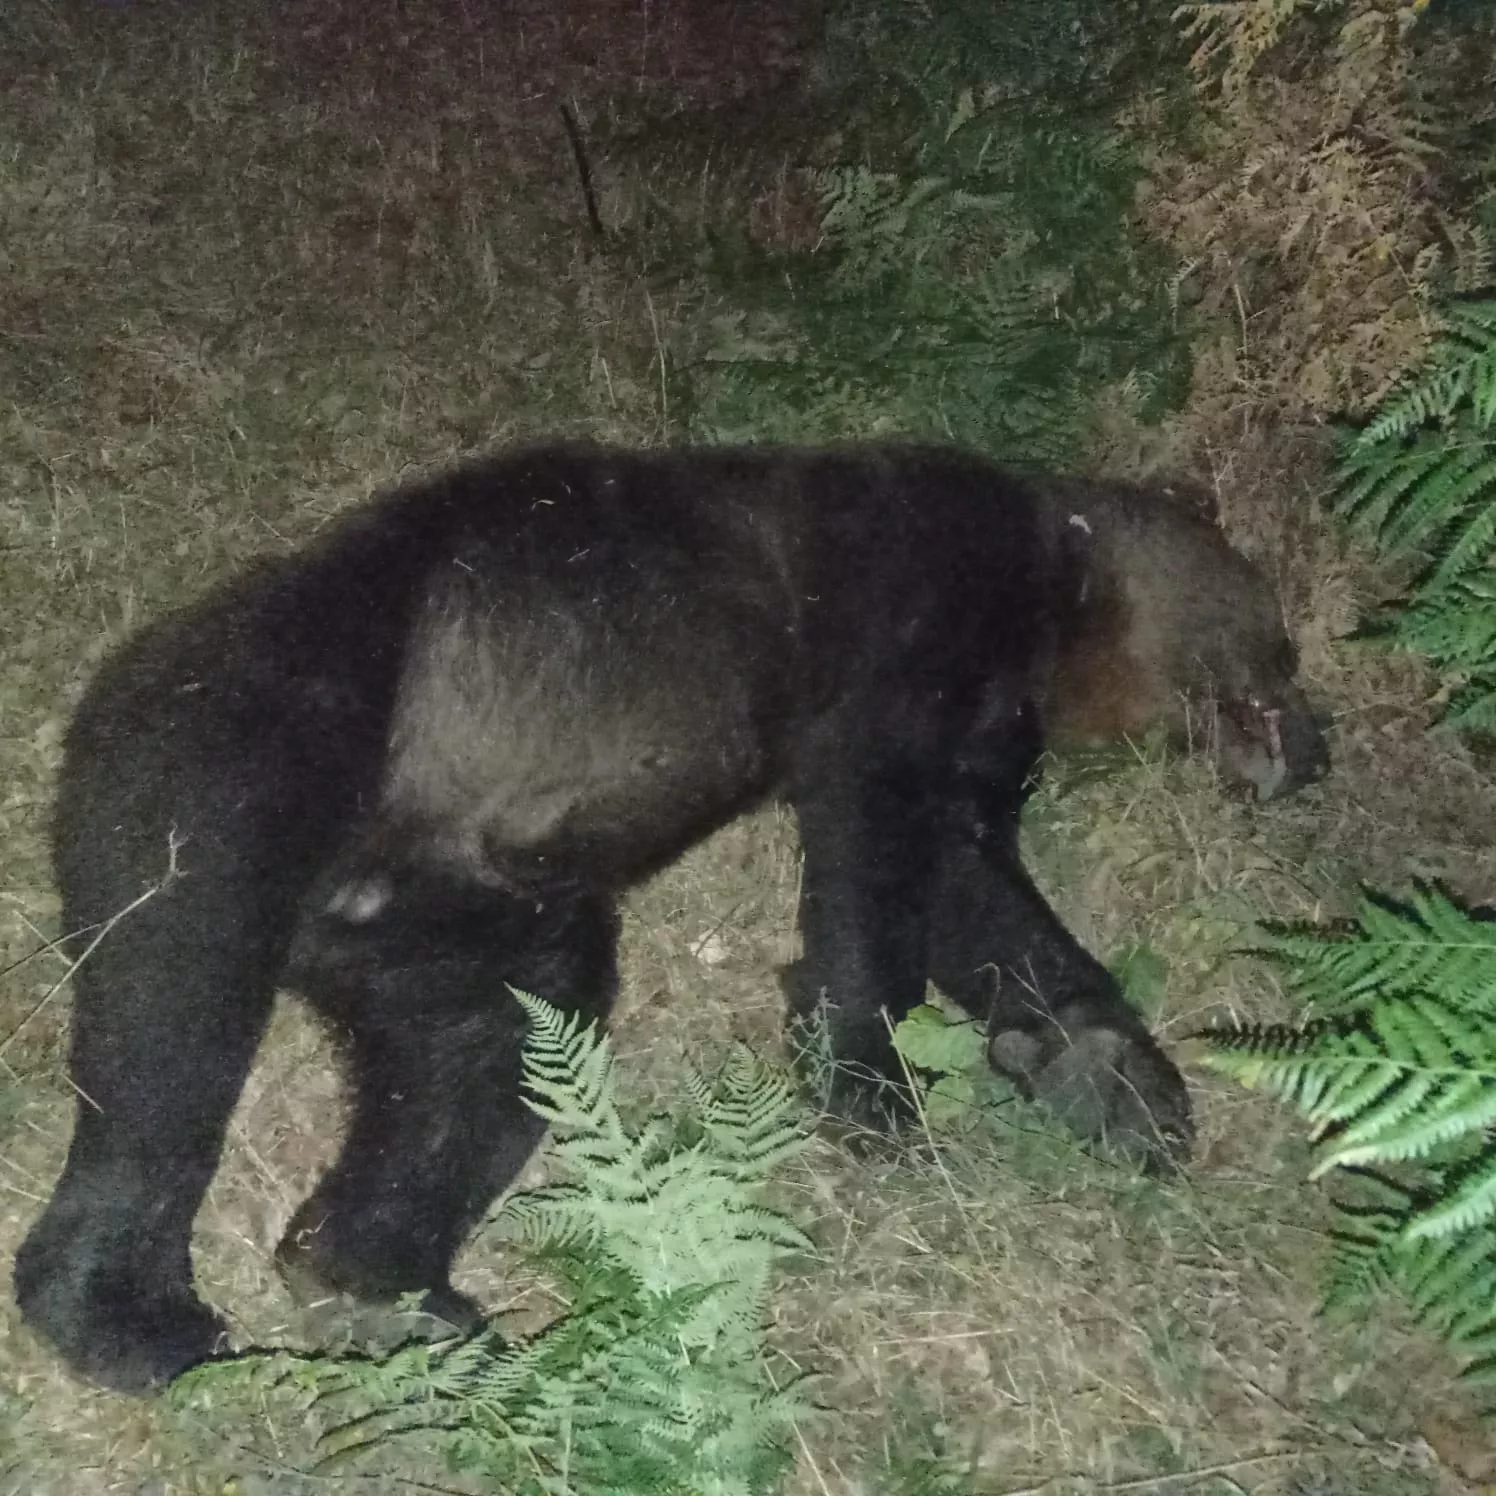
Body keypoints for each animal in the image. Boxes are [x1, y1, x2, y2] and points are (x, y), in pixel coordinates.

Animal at [13, 442, 1328, 1394]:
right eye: (1279, 641)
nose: (1314, 747)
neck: (1050, 596)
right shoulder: (910, 599)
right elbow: (873, 820)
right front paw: (869, 1084)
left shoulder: (985, 717)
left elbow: (969, 869)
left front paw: (1110, 1070)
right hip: (237, 747)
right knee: (169, 1022)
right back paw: (125, 1313)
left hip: (454, 915)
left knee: (481, 1047)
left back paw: (383, 1289)